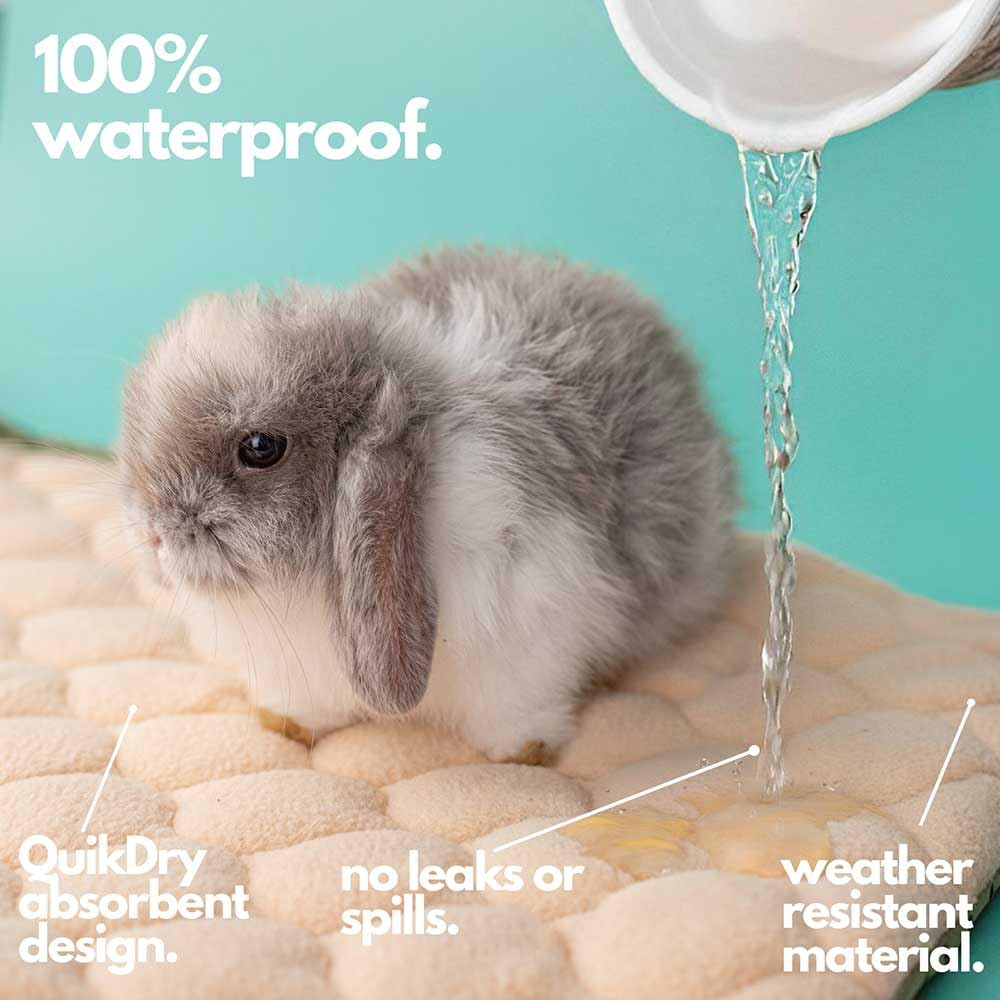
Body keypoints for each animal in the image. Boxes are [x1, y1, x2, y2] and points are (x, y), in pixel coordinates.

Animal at [119, 248, 737, 762]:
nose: (153, 535)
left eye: (260, 448)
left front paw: (523, 751)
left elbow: (520, 706)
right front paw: (287, 722)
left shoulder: (536, 624)